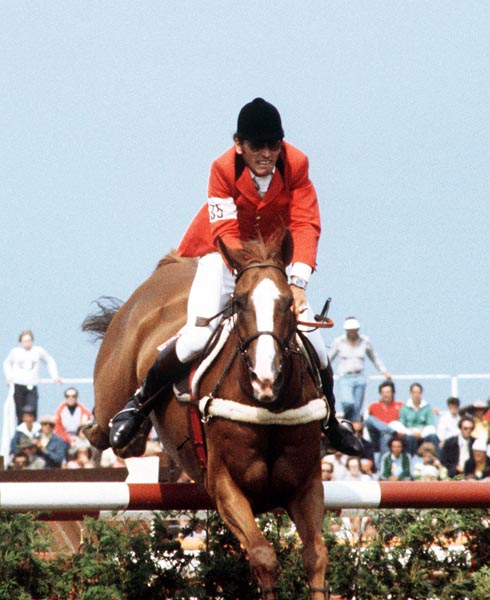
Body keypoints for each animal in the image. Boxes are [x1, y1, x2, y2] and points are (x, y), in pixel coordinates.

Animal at [83, 229, 330, 596]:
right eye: (239, 303)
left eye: (287, 303)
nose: (265, 379)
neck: (267, 408)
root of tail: (170, 267)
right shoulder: (224, 486)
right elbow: (263, 556)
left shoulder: (305, 486)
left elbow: (315, 557)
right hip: (113, 385)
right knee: (105, 426)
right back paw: (124, 426)